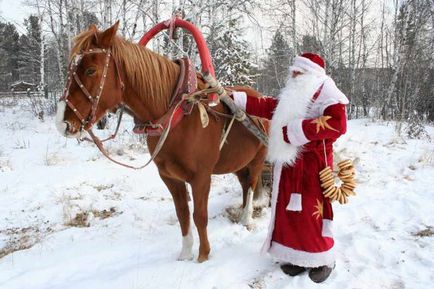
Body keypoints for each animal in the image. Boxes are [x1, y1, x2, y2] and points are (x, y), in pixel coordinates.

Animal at [55, 22, 266, 260]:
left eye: (91, 70)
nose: (62, 122)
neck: (178, 114)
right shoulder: (170, 177)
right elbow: (183, 214)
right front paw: (185, 255)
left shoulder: (201, 177)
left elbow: (199, 216)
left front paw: (203, 256)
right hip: (238, 163)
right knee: (244, 184)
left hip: (257, 160)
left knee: (251, 184)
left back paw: (246, 218)